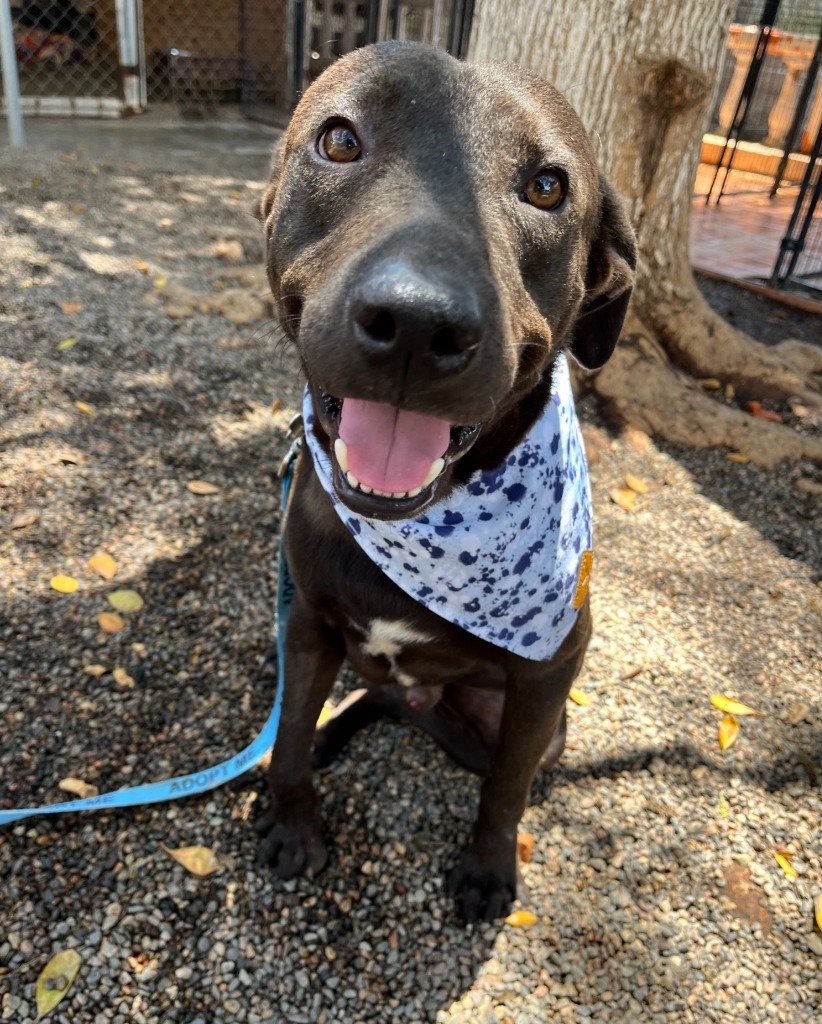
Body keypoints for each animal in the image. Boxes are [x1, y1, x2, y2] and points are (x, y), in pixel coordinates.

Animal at [256, 39, 634, 925]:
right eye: (339, 140)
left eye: (546, 187)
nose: (417, 323)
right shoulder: (307, 623)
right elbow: (285, 735)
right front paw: (292, 819)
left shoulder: (548, 675)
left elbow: (505, 790)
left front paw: (489, 867)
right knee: (373, 698)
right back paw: (331, 734)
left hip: (522, 725)